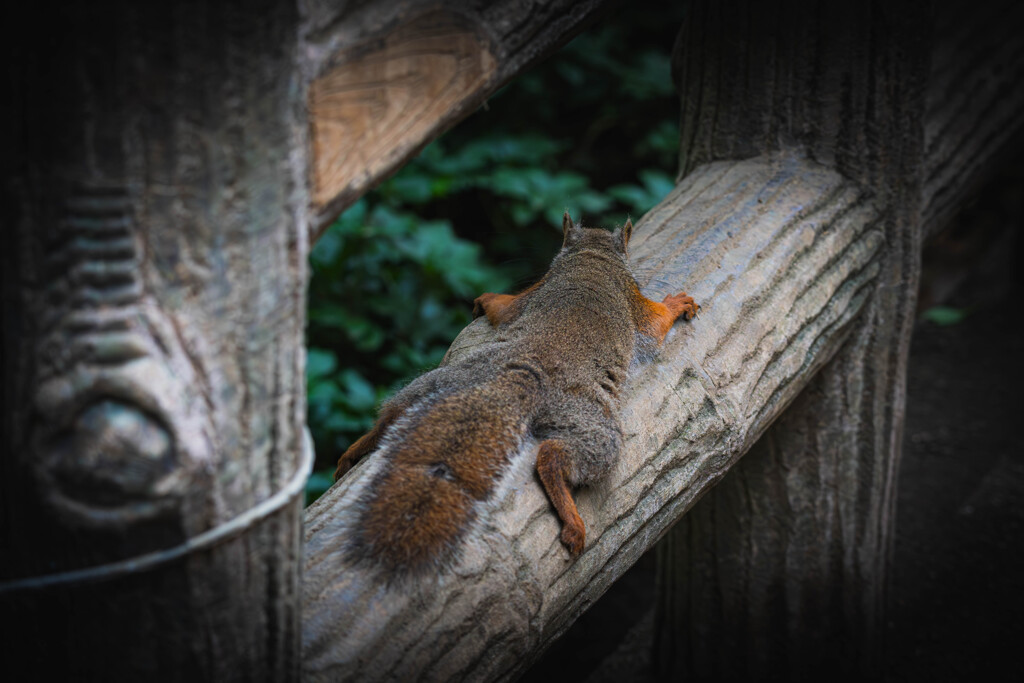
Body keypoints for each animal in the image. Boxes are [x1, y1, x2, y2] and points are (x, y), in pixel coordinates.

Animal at [333, 210, 696, 573]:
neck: (591, 257)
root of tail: (526, 376)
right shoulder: (631, 301)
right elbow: (654, 325)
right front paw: (677, 304)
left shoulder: (535, 293)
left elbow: (506, 310)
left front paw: (484, 300)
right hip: (585, 418)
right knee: (557, 456)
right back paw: (571, 519)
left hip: (445, 380)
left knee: (393, 414)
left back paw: (354, 451)